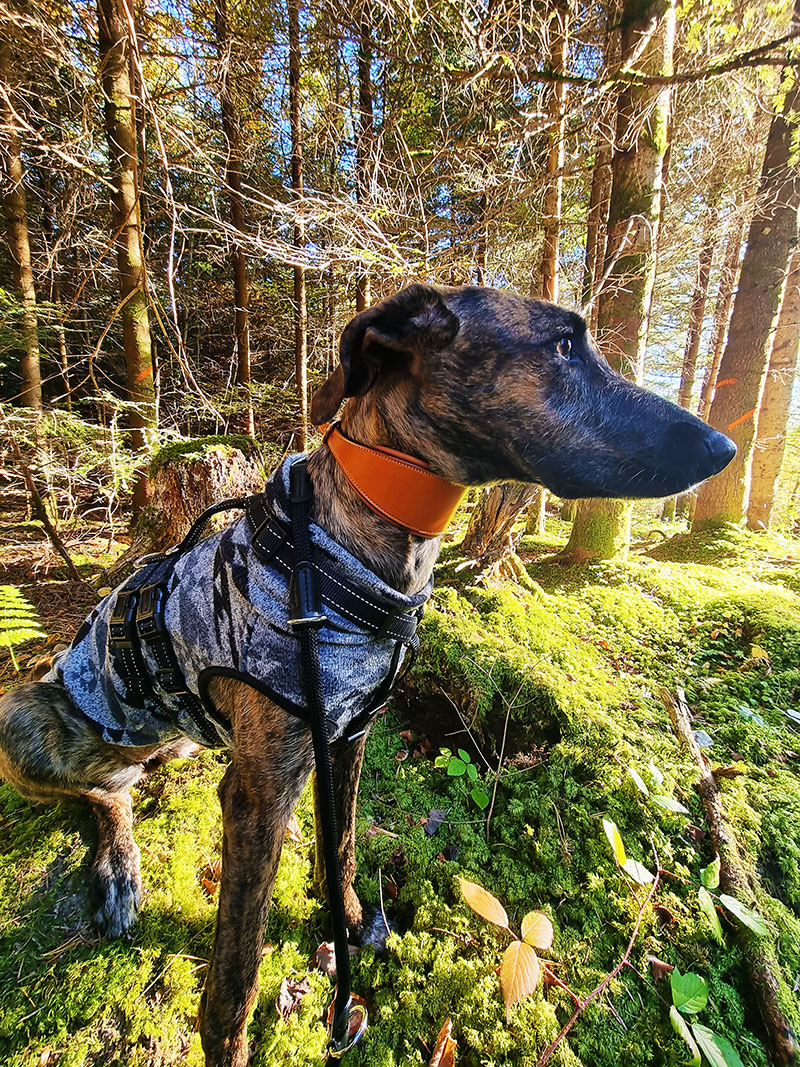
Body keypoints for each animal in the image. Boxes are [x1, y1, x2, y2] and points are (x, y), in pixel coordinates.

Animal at [0, 285, 738, 1067]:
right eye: (565, 346)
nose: (724, 448)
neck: (355, 544)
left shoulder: (347, 734)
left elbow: (345, 843)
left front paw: (349, 923)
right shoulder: (260, 790)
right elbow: (237, 967)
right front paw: (229, 1040)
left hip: (178, 736)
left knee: (131, 776)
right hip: (23, 715)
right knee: (106, 789)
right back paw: (118, 868)